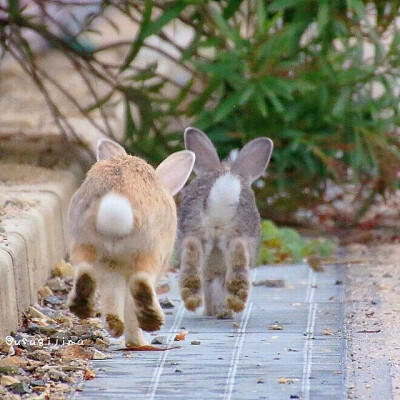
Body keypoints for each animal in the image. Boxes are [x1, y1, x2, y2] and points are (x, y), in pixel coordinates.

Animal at [67, 139, 195, 346]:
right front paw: (136, 342)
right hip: (149, 250)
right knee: (140, 282)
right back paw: (149, 326)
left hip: (86, 244)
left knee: (87, 273)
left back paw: (95, 314)